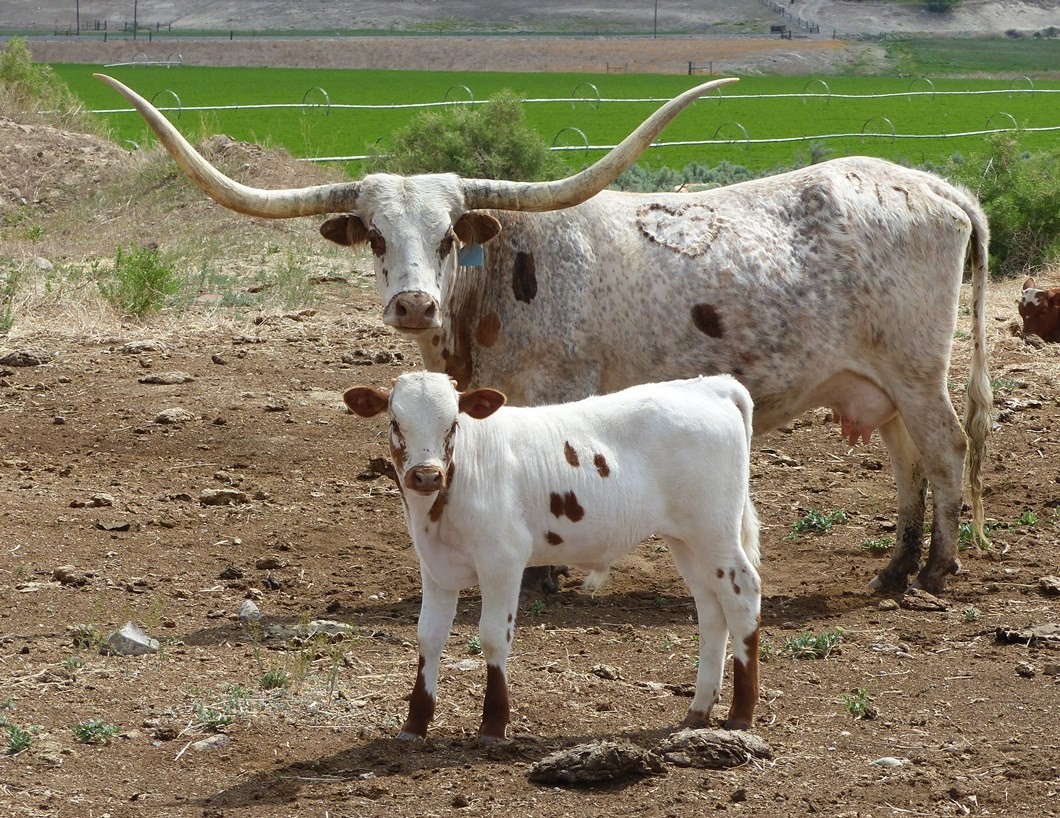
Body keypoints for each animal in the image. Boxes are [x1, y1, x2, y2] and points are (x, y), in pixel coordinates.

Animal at [96, 73, 993, 595]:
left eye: (450, 235)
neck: (496, 282)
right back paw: (893, 568)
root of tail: (940, 188)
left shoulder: (553, 393)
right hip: (874, 383)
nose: (412, 305)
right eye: (377, 237)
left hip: (918, 369)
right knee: (909, 460)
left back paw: (938, 570)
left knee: (947, 447)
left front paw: (554, 578)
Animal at [343, 371, 761, 740]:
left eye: (453, 424)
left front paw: (493, 724)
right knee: (711, 608)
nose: (427, 475)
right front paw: (415, 724)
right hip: (686, 540)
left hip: (714, 532)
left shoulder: (503, 561)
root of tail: (711, 386)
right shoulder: (434, 567)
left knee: (743, 593)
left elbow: (493, 637)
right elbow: (429, 637)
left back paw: (741, 713)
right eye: (395, 422)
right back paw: (699, 708)